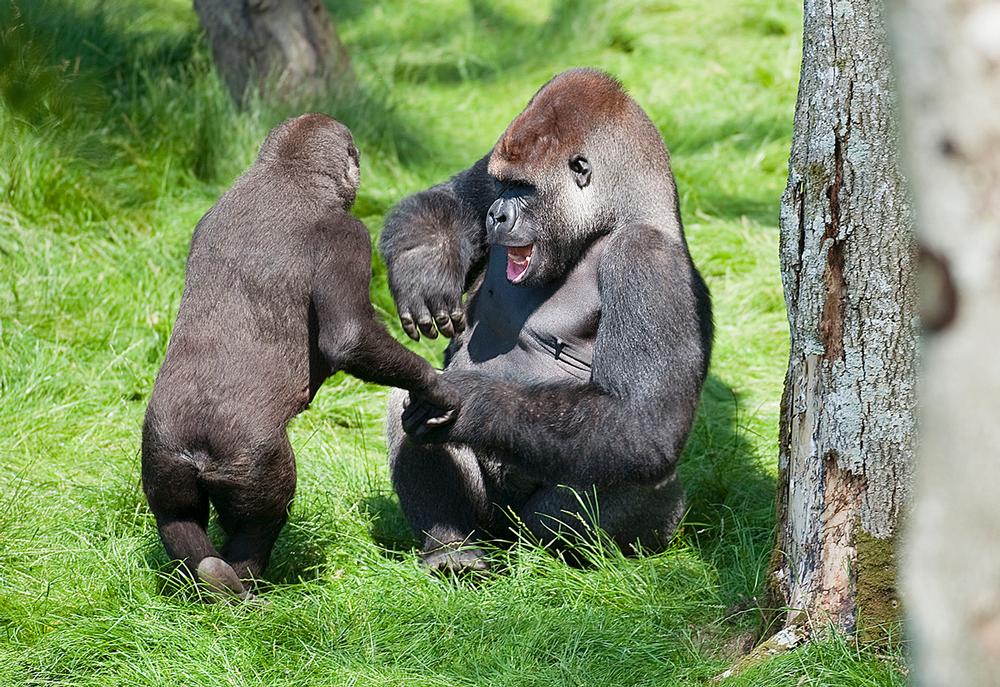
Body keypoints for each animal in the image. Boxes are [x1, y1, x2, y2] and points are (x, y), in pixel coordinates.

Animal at [142, 113, 455, 599]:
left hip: (162, 452)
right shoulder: (349, 235)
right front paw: (434, 384)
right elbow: (350, 336)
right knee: (261, 519)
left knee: (177, 516)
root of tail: (196, 449)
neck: (285, 173)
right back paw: (242, 589)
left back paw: (209, 579)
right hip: (252, 462)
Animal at [378, 69, 713, 572]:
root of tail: (505, 539)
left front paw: (469, 401)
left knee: (635, 474)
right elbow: (445, 197)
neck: (614, 217)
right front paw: (426, 262)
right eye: (503, 186)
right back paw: (452, 547)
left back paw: (554, 560)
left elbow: (643, 422)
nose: (496, 215)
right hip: (490, 525)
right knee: (405, 400)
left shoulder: (648, 260)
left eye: (524, 189)